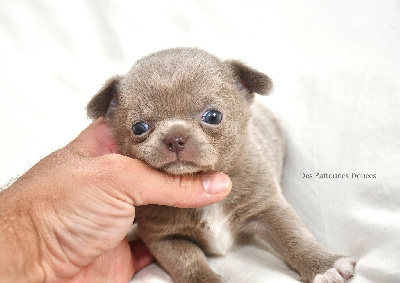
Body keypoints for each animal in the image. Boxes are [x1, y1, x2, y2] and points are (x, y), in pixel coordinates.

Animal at [87, 47, 356, 282]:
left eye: (213, 116)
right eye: (139, 127)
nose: (175, 137)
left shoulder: (268, 208)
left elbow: (294, 236)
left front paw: (323, 265)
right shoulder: (166, 238)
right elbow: (188, 262)